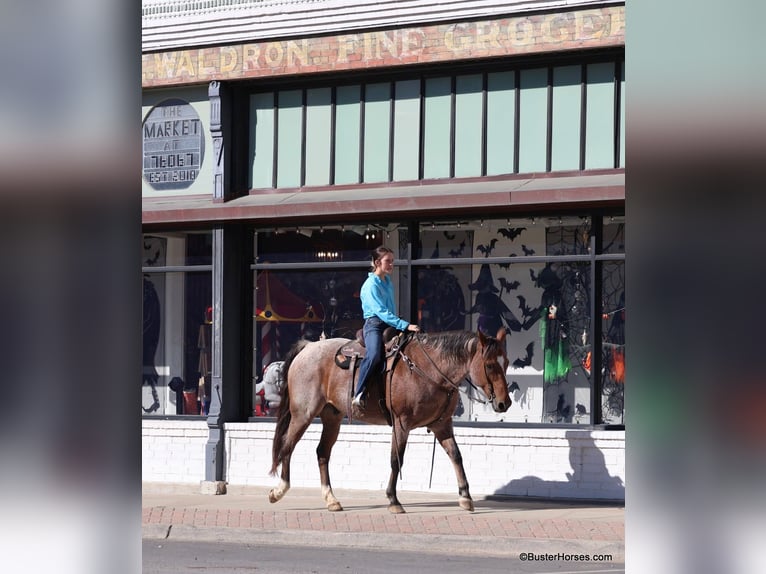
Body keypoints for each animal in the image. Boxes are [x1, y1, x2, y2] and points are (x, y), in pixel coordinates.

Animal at [268, 330, 512, 516]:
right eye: (490, 365)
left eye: (507, 362)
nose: (504, 403)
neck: (428, 370)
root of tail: (308, 347)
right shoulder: (401, 423)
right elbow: (397, 460)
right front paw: (394, 500)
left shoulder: (441, 424)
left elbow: (457, 456)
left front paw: (465, 497)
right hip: (303, 413)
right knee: (287, 446)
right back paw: (279, 491)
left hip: (332, 417)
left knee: (322, 453)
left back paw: (331, 499)